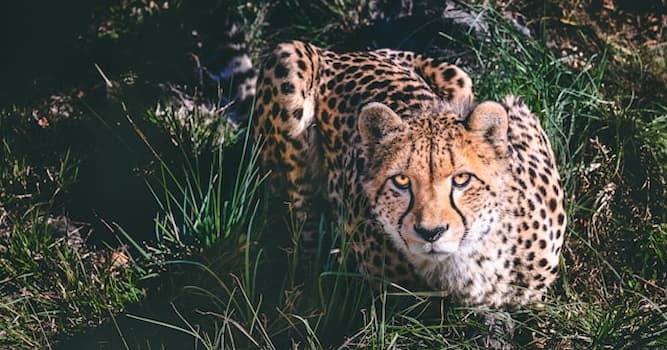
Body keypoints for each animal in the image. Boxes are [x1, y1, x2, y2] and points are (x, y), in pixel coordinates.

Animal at [253, 39, 568, 304]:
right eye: (401, 180)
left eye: (462, 179)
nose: (431, 232)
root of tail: (341, 53)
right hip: (287, 60)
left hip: (459, 76)